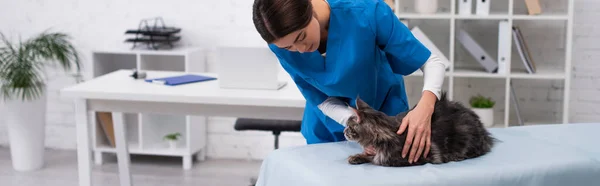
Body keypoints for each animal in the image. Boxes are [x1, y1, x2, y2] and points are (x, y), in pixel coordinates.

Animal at [344, 91, 494, 167]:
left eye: (349, 126)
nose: (344, 131)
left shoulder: (408, 158)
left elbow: (375, 159)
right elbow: (368, 155)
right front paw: (356, 157)